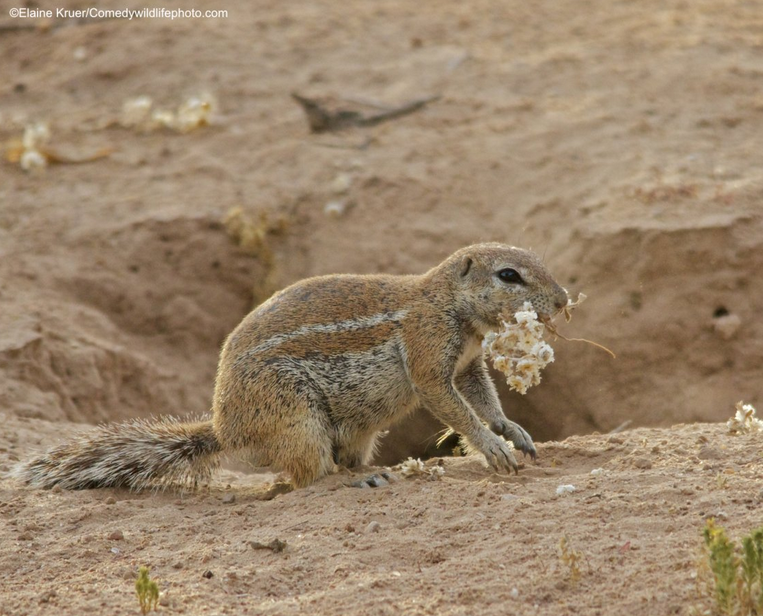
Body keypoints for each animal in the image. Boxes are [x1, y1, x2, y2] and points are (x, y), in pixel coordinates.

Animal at [16, 243, 568, 488]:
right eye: (509, 275)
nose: (563, 300)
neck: (448, 302)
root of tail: (226, 430)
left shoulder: (468, 365)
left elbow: (482, 398)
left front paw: (512, 430)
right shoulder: (429, 352)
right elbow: (451, 404)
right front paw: (493, 448)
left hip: (352, 430)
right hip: (296, 415)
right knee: (306, 477)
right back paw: (353, 481)